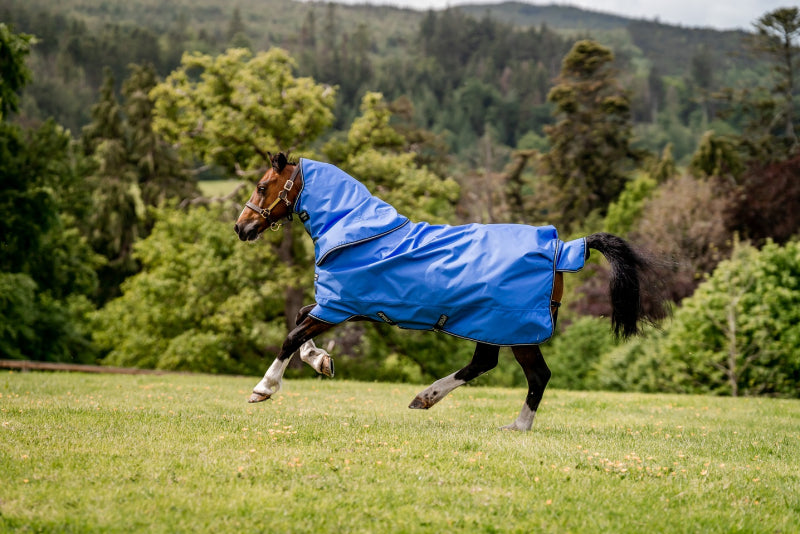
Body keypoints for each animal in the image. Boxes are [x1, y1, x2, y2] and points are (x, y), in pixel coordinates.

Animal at [234, 154, 664, 432]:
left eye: (261, 186)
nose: (241, 228)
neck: (357, 232)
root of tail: (564, 247)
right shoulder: (344, 306)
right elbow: (299, 321)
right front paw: (322, 361)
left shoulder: (339, 306)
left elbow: (291, 336)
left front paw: (262, 390)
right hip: (493, 326)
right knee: (484, 364)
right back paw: (427, 398)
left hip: (513, 329)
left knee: (536, 375)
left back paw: (517, 425)